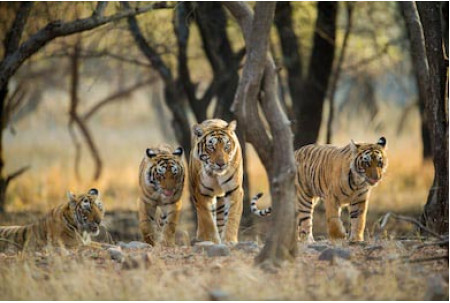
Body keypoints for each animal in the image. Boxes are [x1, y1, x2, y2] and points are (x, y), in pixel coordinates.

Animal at [251, 139, 388, 243]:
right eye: (367, 163)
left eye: (379, 163)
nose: (376, 178)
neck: (358, 182)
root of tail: (295, 152)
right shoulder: (332, 197)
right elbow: (333, 220)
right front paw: (340, 236)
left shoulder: (359, 200)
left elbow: (359, 221)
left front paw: (356, 239)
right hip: (304, 197)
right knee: (305, 221)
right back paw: (308, 241)